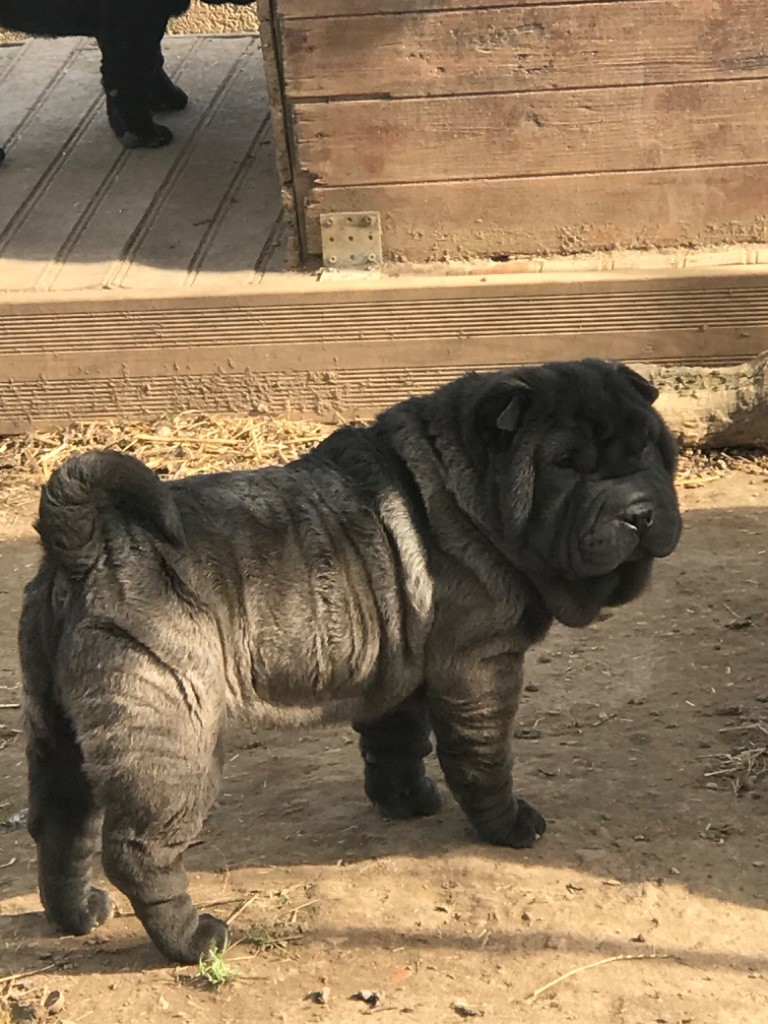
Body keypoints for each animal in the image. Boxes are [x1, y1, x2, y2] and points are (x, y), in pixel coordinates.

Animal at [18, 358, 684, 958]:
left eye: (650, 450)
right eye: (565, 466)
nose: (639, 511)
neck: (471, 492)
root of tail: (84, 549)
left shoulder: (399, 667)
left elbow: (396, 742)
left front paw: (407, 802)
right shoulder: (479, 666)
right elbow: (483, 759)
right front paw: (509, 825)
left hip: (57, 729)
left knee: (60, 826)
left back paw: (77, 915)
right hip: (172, 742)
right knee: (138, 853)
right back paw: (193, 940)